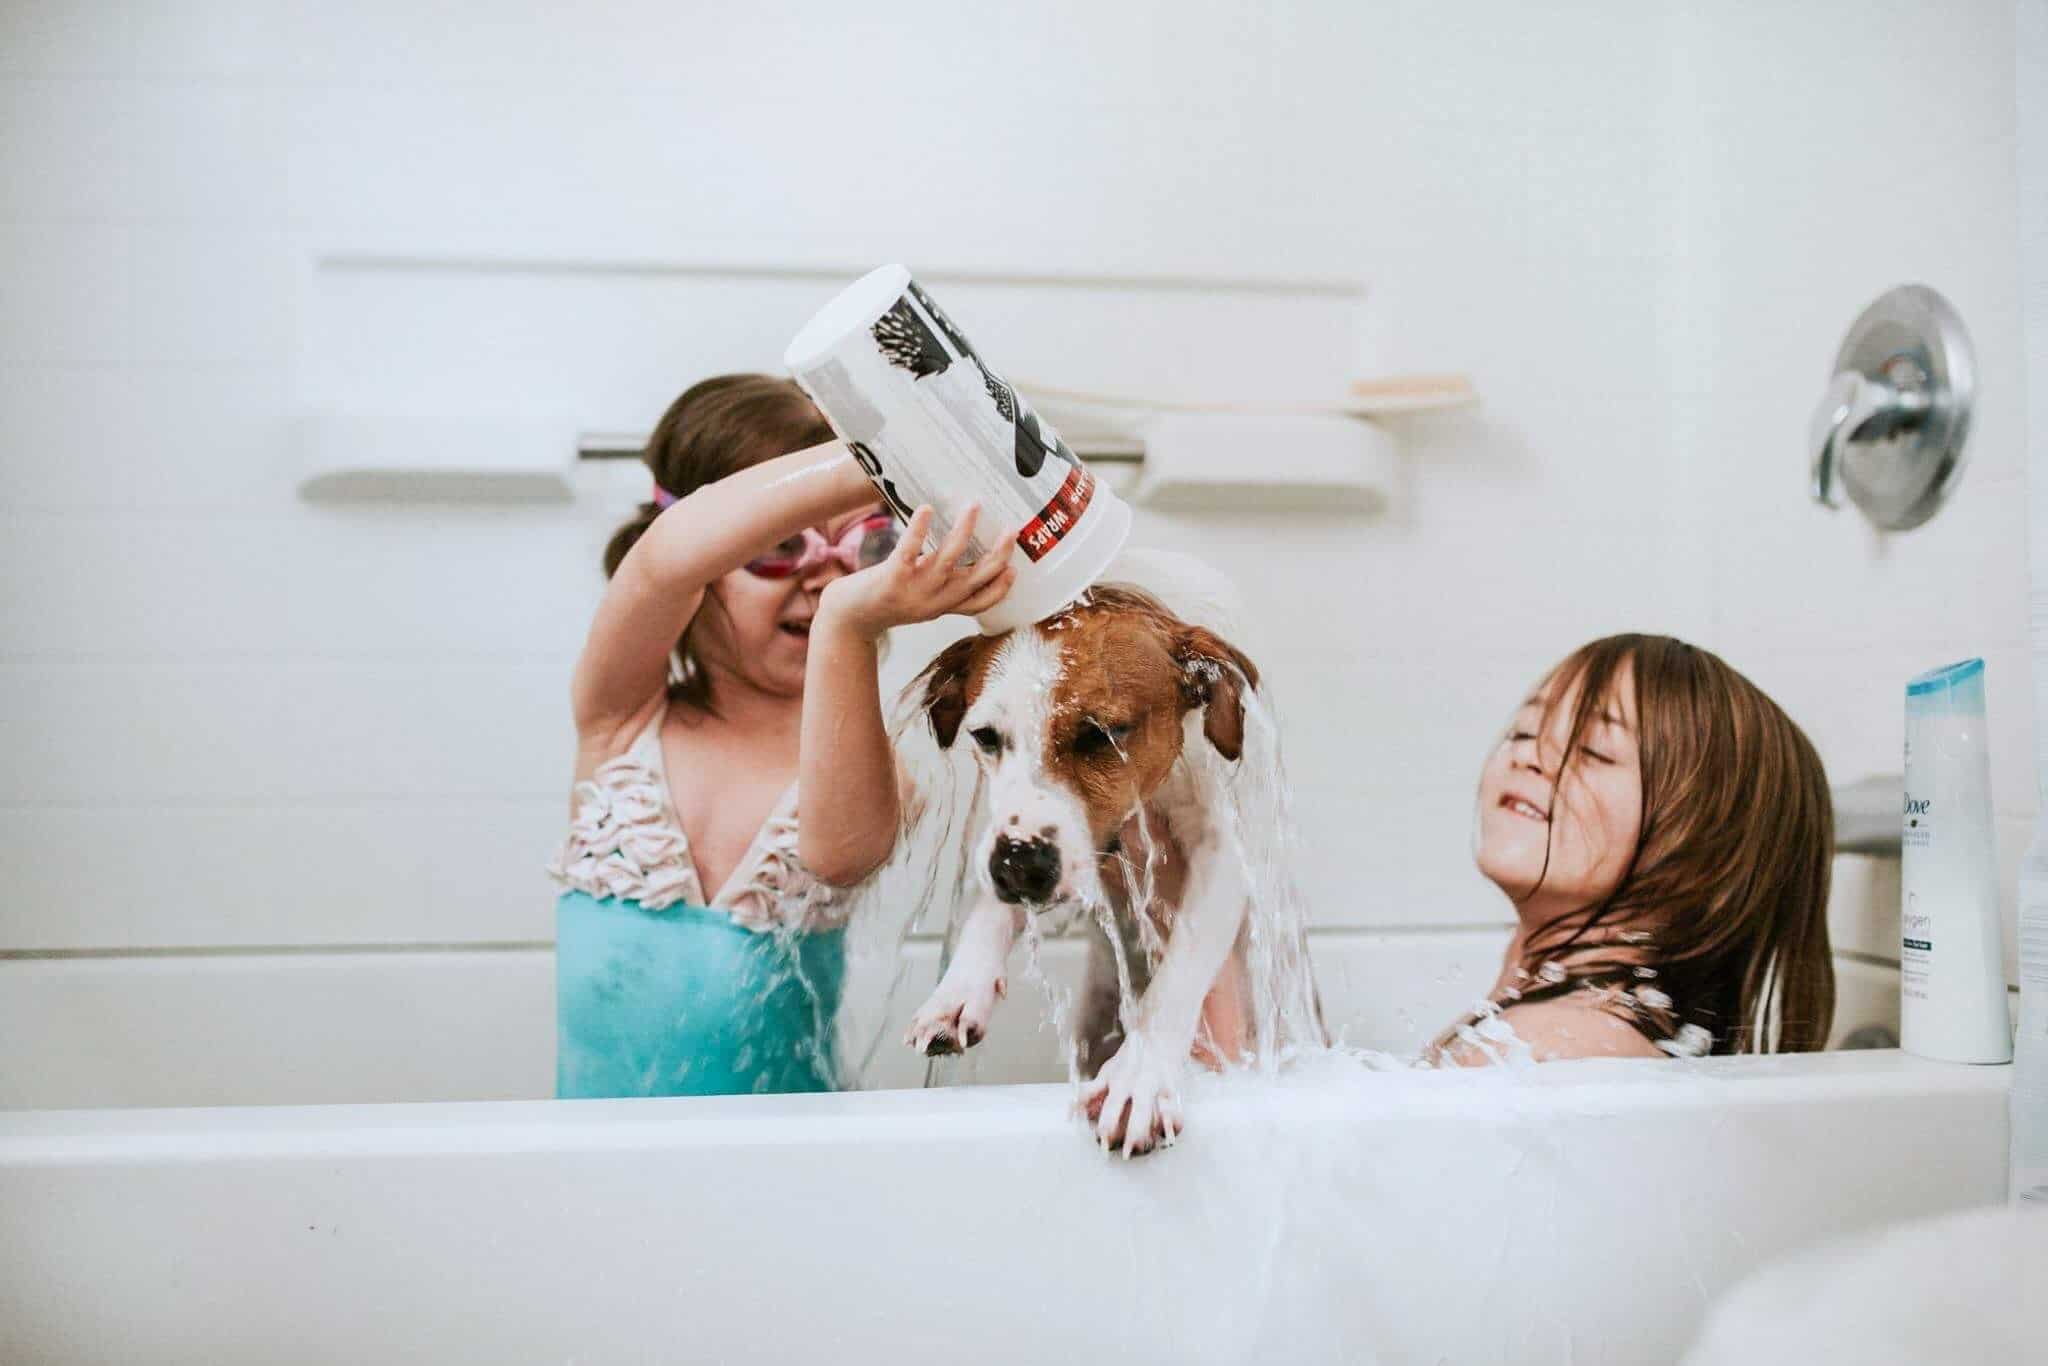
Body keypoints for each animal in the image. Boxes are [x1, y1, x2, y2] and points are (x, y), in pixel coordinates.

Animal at [909, 581, 1277, 1163]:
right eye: (986, 736)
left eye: (1101, 734)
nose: (1018, 867)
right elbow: (991, 907)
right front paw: (959, 987)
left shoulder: (1221, 851)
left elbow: (1180, 968)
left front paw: (1139, 1078)